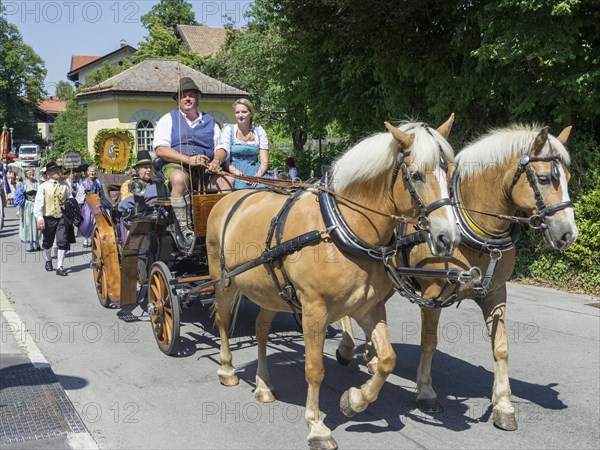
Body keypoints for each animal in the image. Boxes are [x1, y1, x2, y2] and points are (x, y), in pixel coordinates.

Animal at [206, 115, 460, 446]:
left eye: (450, 171)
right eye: (415, 175)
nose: (448, 238)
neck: (341, 229)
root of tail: (230, 199)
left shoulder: (368, 308)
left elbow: (387, 359)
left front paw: (354, 401)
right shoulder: (314, 311)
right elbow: (314, 369)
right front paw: (316, 425)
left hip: (271, 291)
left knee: (261, 330)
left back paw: (263, 384)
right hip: (224, 281)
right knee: (223, 320)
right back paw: (227, 369)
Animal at [338, 124, 576, 432]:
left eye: (568, 178)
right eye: (545, 178)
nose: (569, 234)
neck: (474, 230)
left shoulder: (496, 294)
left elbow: (501, 347)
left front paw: (503, 405)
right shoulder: (432, 294)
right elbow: (429, 343)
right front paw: (426, 392)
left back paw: (371, 356)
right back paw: (347, 349)